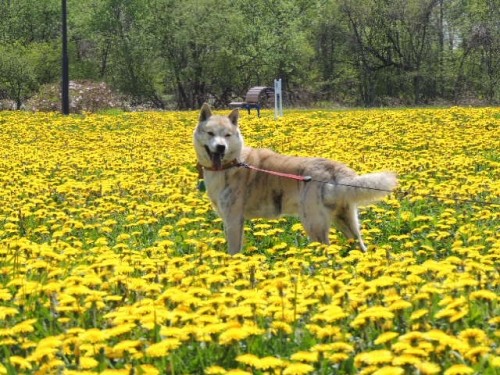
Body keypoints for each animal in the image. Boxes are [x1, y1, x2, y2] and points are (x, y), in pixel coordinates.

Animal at [193, 103, 396, 256]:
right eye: (210, 133)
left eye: (227, 135)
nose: (220, 147)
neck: (231, 163)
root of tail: (335, 170)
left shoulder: (234, 220)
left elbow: (233, 251)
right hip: (345, 220)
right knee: (360, 246)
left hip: (313, 223)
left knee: (327, 250)